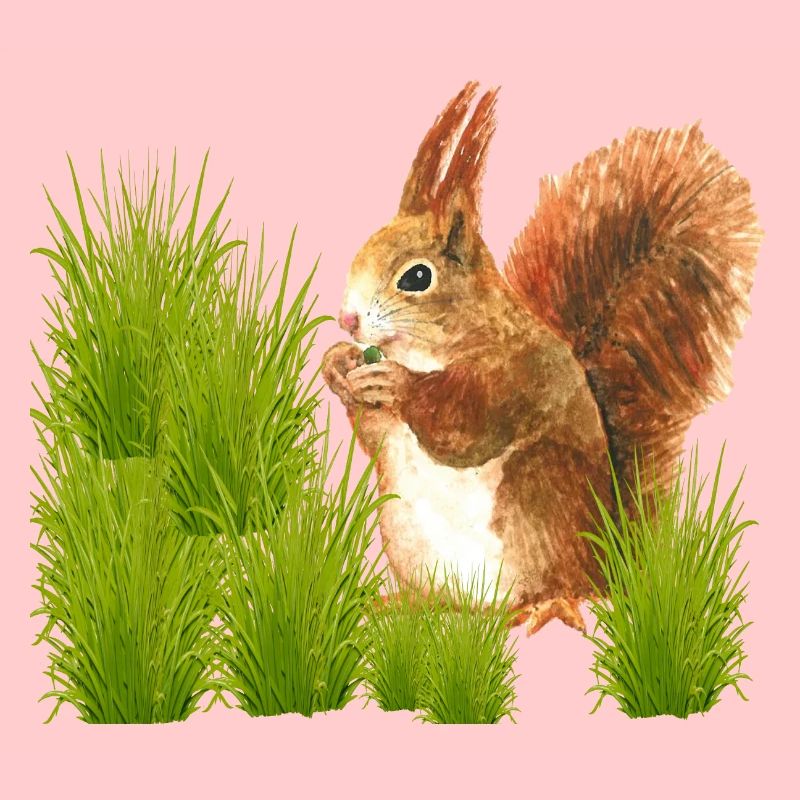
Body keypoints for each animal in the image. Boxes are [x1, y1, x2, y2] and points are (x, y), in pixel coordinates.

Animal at [322, 81, 761, 634]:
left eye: (417, 277)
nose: (347, 320)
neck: (434, 348)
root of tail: (609, 562)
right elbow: (376, 435)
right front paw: (338, 366)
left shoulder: (519, 374)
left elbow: (465, 425)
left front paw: (395, 383)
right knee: (447, 600)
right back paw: (405, 604)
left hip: (539, 495)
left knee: (560, 586)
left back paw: (543, 605)